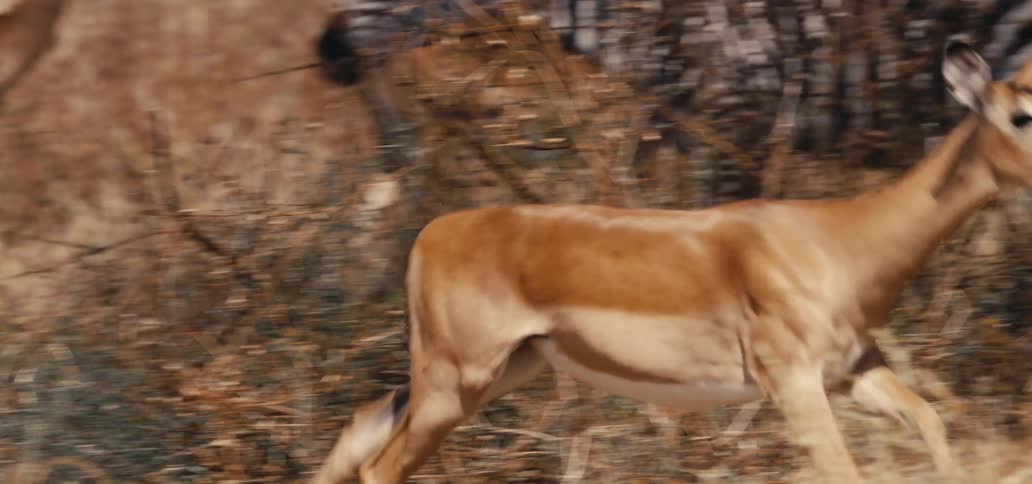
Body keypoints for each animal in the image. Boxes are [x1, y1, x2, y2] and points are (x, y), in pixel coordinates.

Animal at [312, 40, 1032, 484]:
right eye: (1021, 114)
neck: (838, 241)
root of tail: (432, 233)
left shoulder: (854, 371)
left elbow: (933, 423)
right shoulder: (793, 381)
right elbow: (843, 470)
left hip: (496, 374)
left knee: (361, 431)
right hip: (454, 382)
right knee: (377, 467)